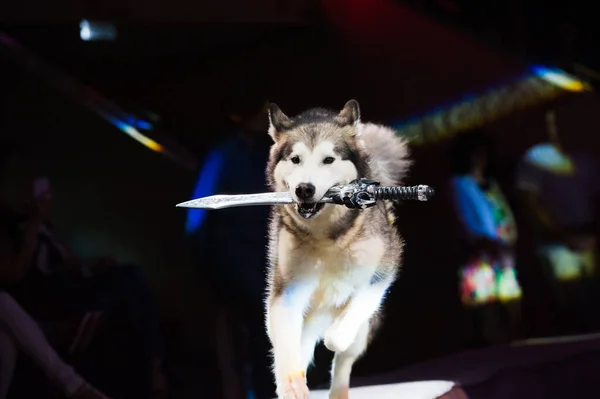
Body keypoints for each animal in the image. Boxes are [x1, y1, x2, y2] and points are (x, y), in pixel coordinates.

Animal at [264, 101, 410, 399]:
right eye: (295, 159)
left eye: (328, 160)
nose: (304, 189)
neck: (326, 236)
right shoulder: (286, 290)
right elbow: (285, 341)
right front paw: (290, 384)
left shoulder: (384, 267)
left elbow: (345, 326)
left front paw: (337, 335)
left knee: (344, 357)